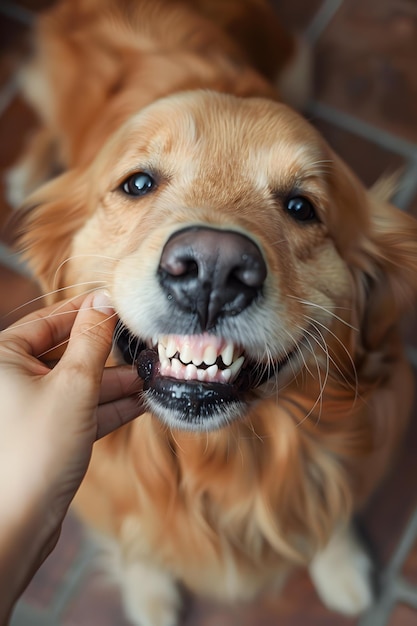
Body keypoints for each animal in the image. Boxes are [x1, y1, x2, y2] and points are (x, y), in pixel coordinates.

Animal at [8, 1, 416, 624]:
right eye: (137, 183)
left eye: (302, 207)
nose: (213, 269)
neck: (223, 461)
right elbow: (135, 541)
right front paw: (148, 592)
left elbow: (331, 506)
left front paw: (340, 563)